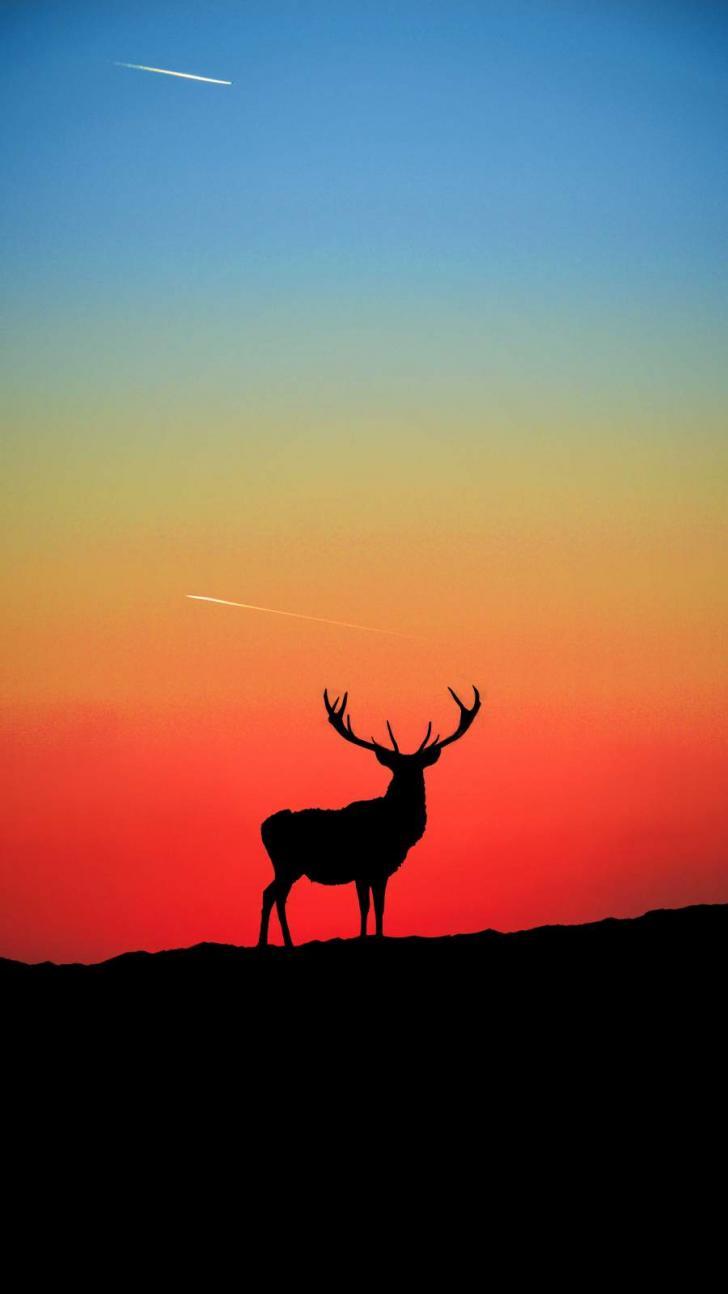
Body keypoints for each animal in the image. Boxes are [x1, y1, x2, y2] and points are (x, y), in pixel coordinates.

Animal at [258, 685, 481, 947]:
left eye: (418, 768)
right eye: (397, 768)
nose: (409, 783)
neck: (396, 827)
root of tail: (264, 827)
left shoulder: (378, 870)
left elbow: (378, 907)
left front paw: (376, 934)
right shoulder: (367, 866)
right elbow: (367, 906)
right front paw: (366, 936)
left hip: (287, 866)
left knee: (273, 894)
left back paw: (278, 942)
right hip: (288, 863)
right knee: (272, 894)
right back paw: (273, 942)